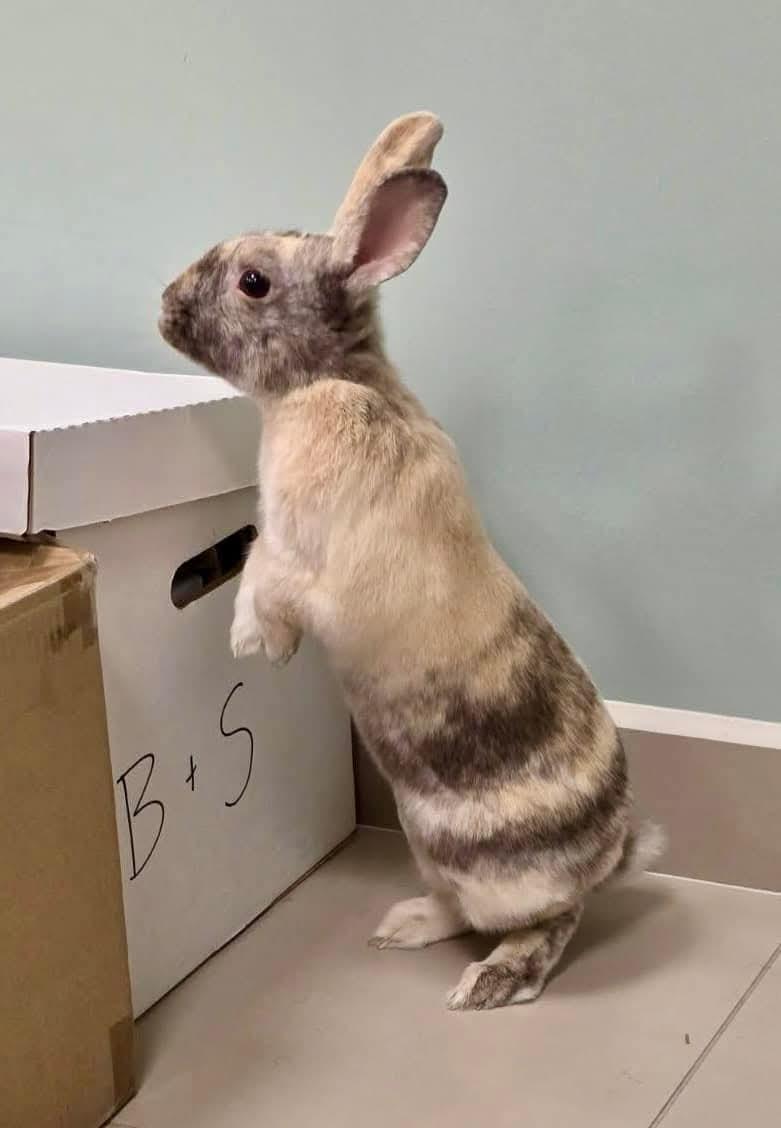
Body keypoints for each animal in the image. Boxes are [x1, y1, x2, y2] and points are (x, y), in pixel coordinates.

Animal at [159, 112, 664, 1010]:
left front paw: (253, 645)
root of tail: (611, 855)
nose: (164, 303)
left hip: (494, 871)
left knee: (552, 922)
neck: (330, 380)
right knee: (464, 907)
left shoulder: (299, 556)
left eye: (253, 281)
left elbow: (264, 579)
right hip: (425, 843)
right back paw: (403, 927)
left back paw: (489, 983)